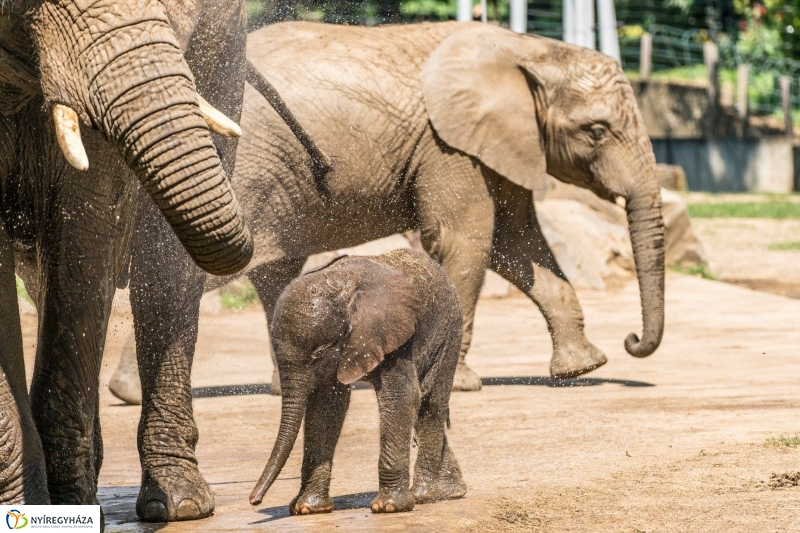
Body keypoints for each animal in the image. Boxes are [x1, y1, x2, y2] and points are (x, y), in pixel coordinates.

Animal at [247, 251, 466, 512]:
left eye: (318, 352)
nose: (254, 500)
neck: (339, 285)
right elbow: (326, 408)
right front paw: (308, 508)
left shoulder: (393, 334)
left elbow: (399, 396)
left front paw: (388, 507)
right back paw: (450, 492)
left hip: (449, 328)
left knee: (430, 402)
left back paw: (426, 495)